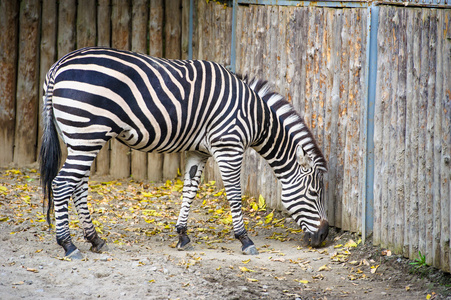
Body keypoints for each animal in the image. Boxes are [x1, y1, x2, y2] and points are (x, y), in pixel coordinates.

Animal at [40, 47, 330, 258]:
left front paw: (182, 235)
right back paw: (68, 245)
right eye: (314, 192)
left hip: (79, 137)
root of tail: (58, 64)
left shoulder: (198, 151)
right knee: (62, 183)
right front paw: (245, 239)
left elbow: (190, 191)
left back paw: (95, 240)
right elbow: (234, 195)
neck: (254, 115)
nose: (325, 236)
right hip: (88, 133)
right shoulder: (229, 147)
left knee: (78, 186)